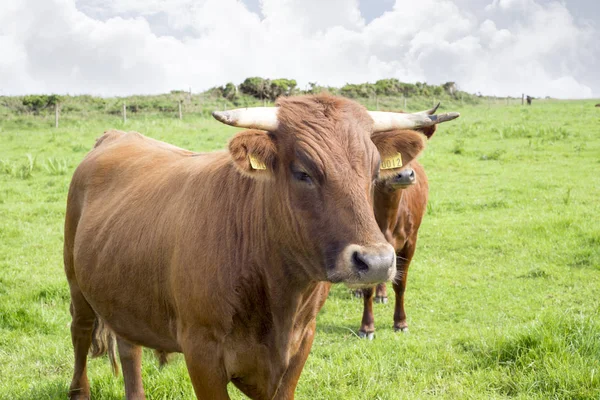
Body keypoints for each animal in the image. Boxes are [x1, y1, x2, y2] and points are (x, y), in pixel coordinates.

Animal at [64, 94, 460, 400]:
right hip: (76, 284)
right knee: (80, 333)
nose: (376, 262)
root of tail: (117, 135)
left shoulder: (300, 347)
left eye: (375, 170)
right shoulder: (202, 353)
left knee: (129, 349)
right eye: (302, 172)